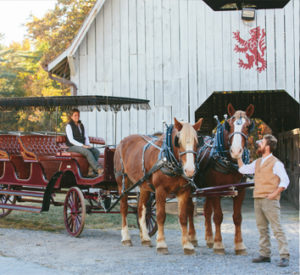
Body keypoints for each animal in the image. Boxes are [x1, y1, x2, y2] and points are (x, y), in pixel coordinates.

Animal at [113, 117, 203, 256]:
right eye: (178, 141)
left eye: (197, 142)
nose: (189, 170)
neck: (168, 160)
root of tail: (122, 141)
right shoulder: (160, 190)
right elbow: (161, 216)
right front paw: (161, 244)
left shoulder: (184, 191)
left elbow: (183, 217)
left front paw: (187, 245)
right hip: (122, 182)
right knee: (124, 208)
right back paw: (126, 238)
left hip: (143, 185)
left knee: (141, 209)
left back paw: (145, 238)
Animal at [196, 104, 254, 256]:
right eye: (228, 125)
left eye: (248, 126)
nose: (236, 151)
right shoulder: (216, 191)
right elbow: (218, 216)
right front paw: (218, 245)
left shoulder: (240, 190)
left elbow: (237, 217)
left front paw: (239, 245)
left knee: (207, 211)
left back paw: (209, 238)